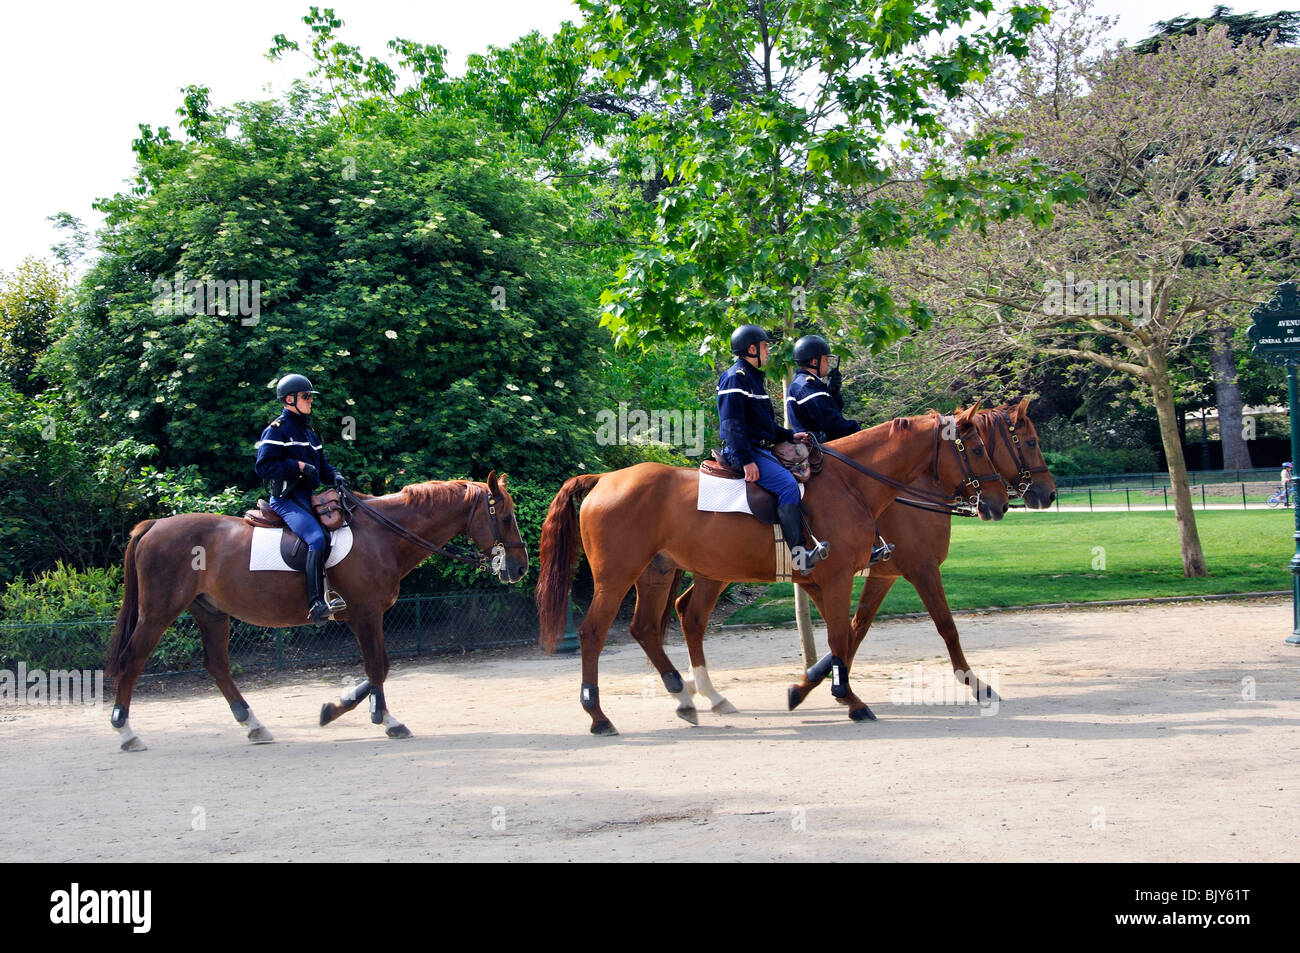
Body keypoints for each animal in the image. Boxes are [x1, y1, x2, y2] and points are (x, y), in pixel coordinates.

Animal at [104, 473, 525, 748]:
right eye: (504, 518)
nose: (519, 568)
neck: (384, 535)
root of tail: (154, 525)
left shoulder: (365, 616)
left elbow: (378, 668)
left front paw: (338, 707)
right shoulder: (365, 613)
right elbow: (378, 666)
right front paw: (386, 719)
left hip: (211, 613)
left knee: (217, 666)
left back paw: (253, 725)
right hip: (158, 613)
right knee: (133, 660)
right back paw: (126, 731)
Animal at [538, 400, 1024, 738]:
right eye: (977, 447)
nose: (999, 503)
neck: (852, 484)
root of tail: (605, 479)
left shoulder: (834, 580)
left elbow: (847, 636)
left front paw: (811, 688)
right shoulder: (854, 576)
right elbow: (856, 636)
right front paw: (849, 699)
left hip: (659, 574)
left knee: (652, 627)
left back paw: (690, 695)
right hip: (617, 579)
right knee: (594, 633)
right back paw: (599, 715)